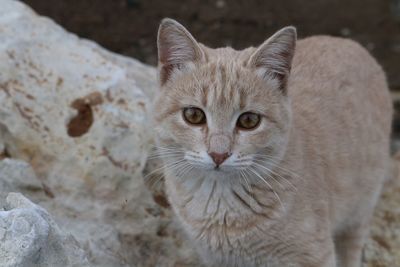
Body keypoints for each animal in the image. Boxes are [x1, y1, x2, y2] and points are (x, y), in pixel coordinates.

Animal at [152, 18, 392, 267]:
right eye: (194, 115)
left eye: (249, 120)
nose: (219, 154)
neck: (219, 202)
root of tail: (351, 43)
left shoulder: (315, 256)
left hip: (359, 212)